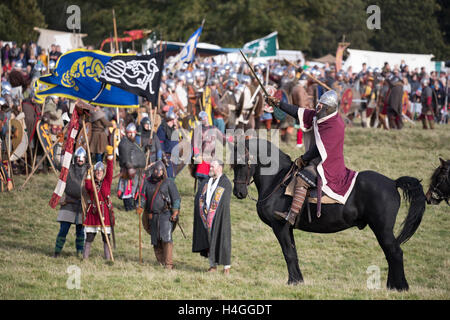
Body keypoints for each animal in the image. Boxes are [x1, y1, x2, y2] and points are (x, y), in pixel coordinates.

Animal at [234, 138, 428, 290]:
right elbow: (293, 253)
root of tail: (392, 182)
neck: (278, 179)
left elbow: (287, 253)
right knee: (390, 254)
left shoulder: (279, 226)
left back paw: (400, 287)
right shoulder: (288, 228)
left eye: (243, 163)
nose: (239, 192)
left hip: (382, 229)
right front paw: (298, 281)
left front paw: (293, 282)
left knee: (395, 253)